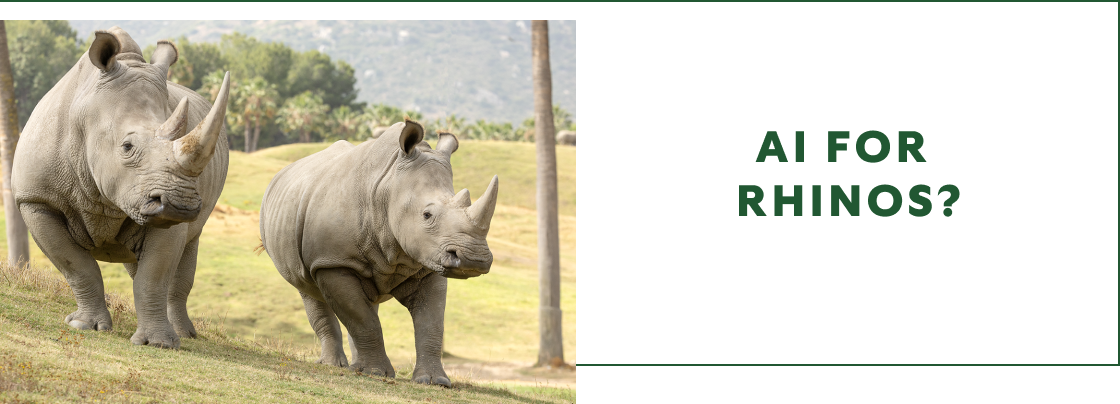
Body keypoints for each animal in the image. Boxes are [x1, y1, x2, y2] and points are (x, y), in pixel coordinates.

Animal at [11, 27, 231, 349]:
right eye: (127, 147)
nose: (180, 204)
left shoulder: (166, 215)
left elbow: (154, 276)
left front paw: (159, 344)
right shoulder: (36, 200)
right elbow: (76, 265)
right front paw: (84, 325)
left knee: (185, 250)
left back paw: (184, 334)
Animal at [260, 120, 497, 386]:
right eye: (427, 215)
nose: (474, 259)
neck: (388, 188)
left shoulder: (429, 263)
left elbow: (432, 323)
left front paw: (434, 381)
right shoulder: (334, 261)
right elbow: (363, 320)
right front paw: (376, 373)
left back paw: (356, 367)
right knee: (310, 292)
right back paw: (337, 366)